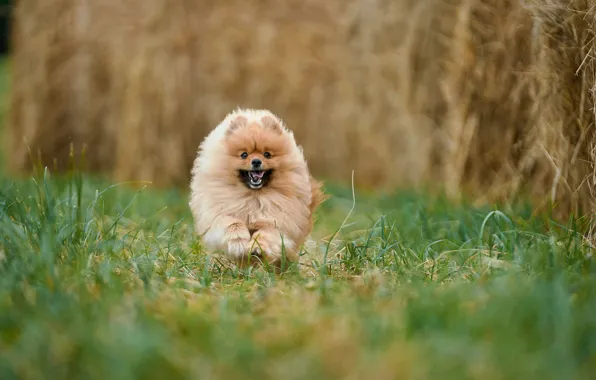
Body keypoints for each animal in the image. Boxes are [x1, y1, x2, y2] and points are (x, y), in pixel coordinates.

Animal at [189, 107, 326, 268]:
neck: (253, 197)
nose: (256, 161)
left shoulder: (277, 219)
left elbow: (266, 233)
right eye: (244, 154)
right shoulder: (220, 213)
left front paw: (257, 247)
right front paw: (239, 243)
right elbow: (232, 224)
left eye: (267, 154)